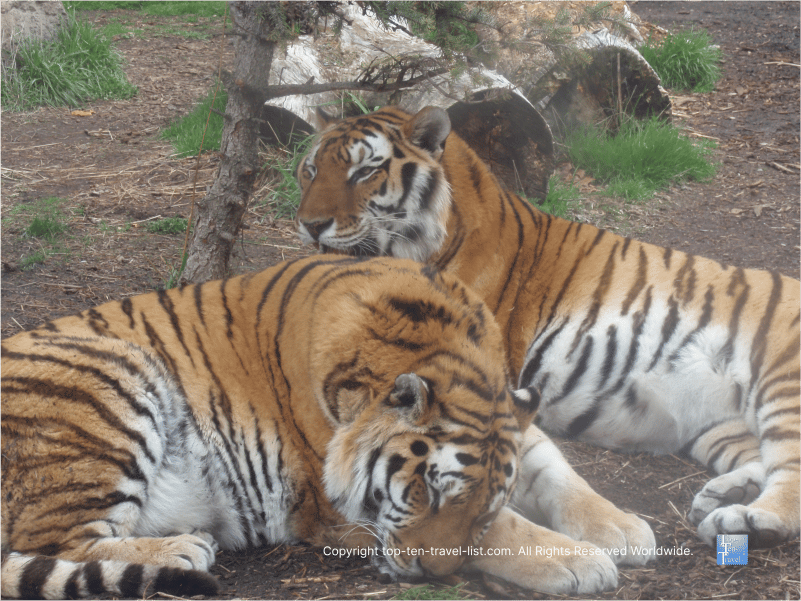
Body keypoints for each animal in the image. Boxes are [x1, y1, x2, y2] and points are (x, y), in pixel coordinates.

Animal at [0, 254, 655, 599]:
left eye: (482, 505)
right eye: (426, 491)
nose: (432, 576)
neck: (446, 351)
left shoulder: (516, 419)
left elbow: (555, 474)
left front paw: (622, 529)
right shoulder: (341, 506)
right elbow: (510, 533)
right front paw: (581, 561)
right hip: (111, 379)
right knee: (54, 543)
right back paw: (183, 549)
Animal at [295, 105, 801, 549]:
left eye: (365, 172)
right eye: (310, 170)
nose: (310, 224)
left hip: (783, 383)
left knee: (790, 472)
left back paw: (747, 519)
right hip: (721, 424)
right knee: (760, 459)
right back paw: (725, 496)